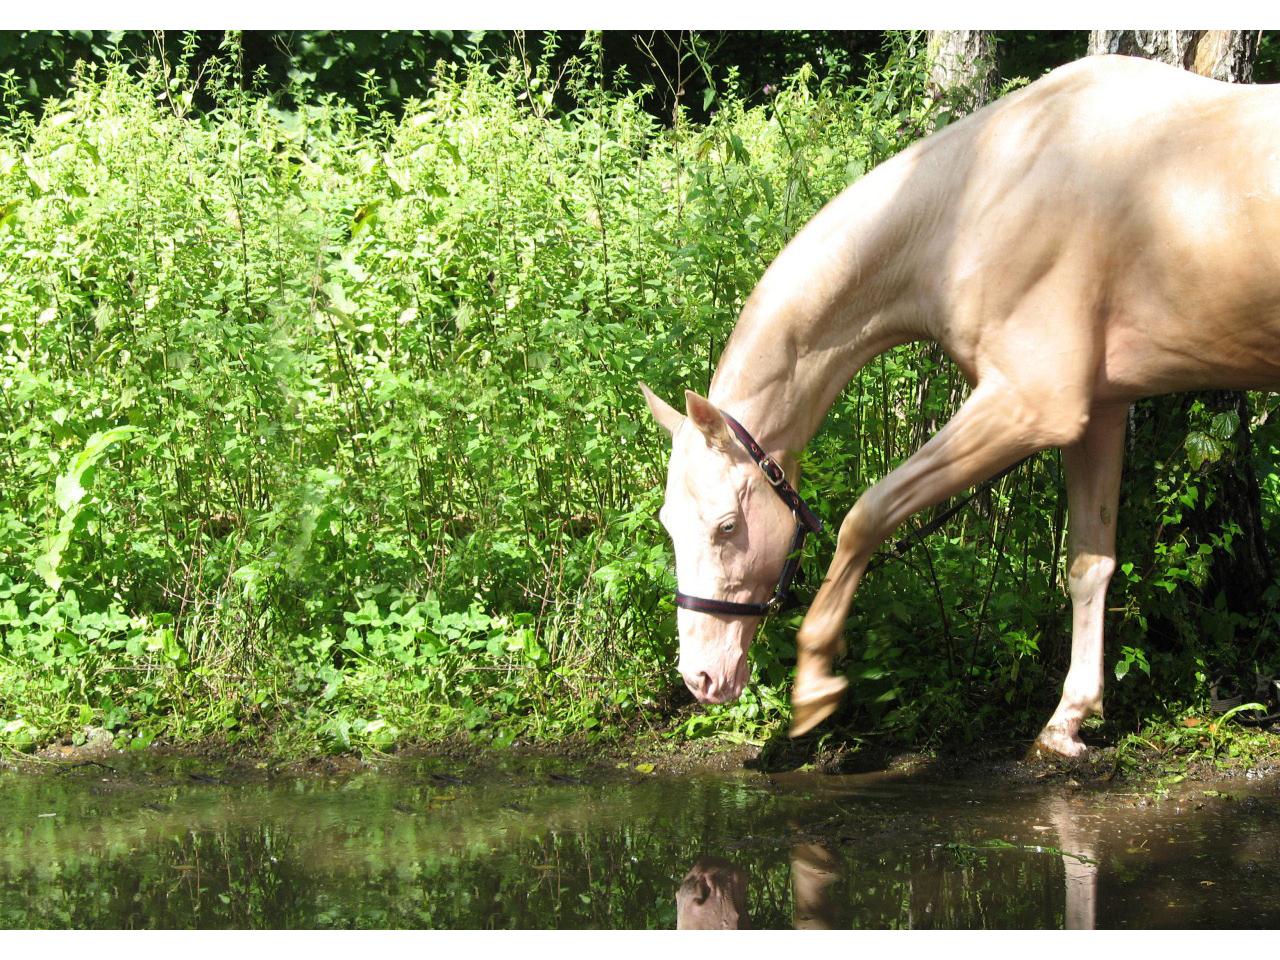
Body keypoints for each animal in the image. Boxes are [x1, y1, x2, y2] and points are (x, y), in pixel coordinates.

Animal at [645, 54, 1280, 757]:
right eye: (670, 525)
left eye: (727, 527)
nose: (701, 678)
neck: (974, 200)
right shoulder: (1099, 414)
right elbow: (1090, 565)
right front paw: (1067, 721)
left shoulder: (1030, 404)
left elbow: (867, 515)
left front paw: (814, 685)